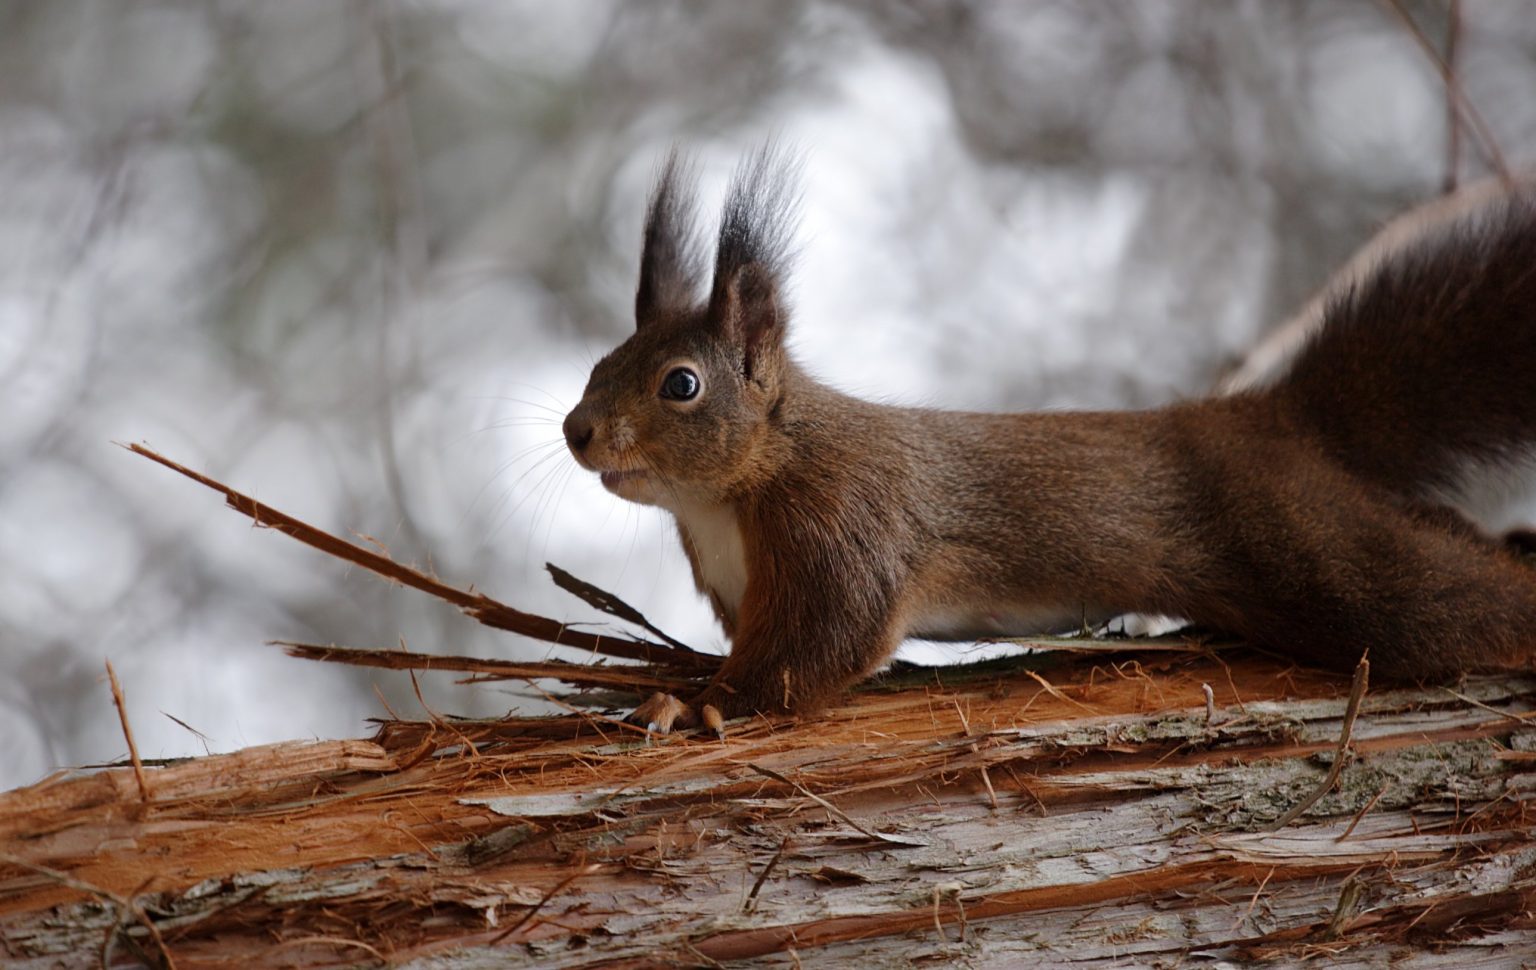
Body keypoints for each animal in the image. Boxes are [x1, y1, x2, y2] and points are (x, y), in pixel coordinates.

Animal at [562, 148, 1536, 730]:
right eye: (602, 360)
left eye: (680, 385)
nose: (576, 432)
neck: (727, 494)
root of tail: (1275, 419)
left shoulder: (844, 523)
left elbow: (819, 650)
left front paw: (700, 703)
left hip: (1310, 546)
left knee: (1444, 601)